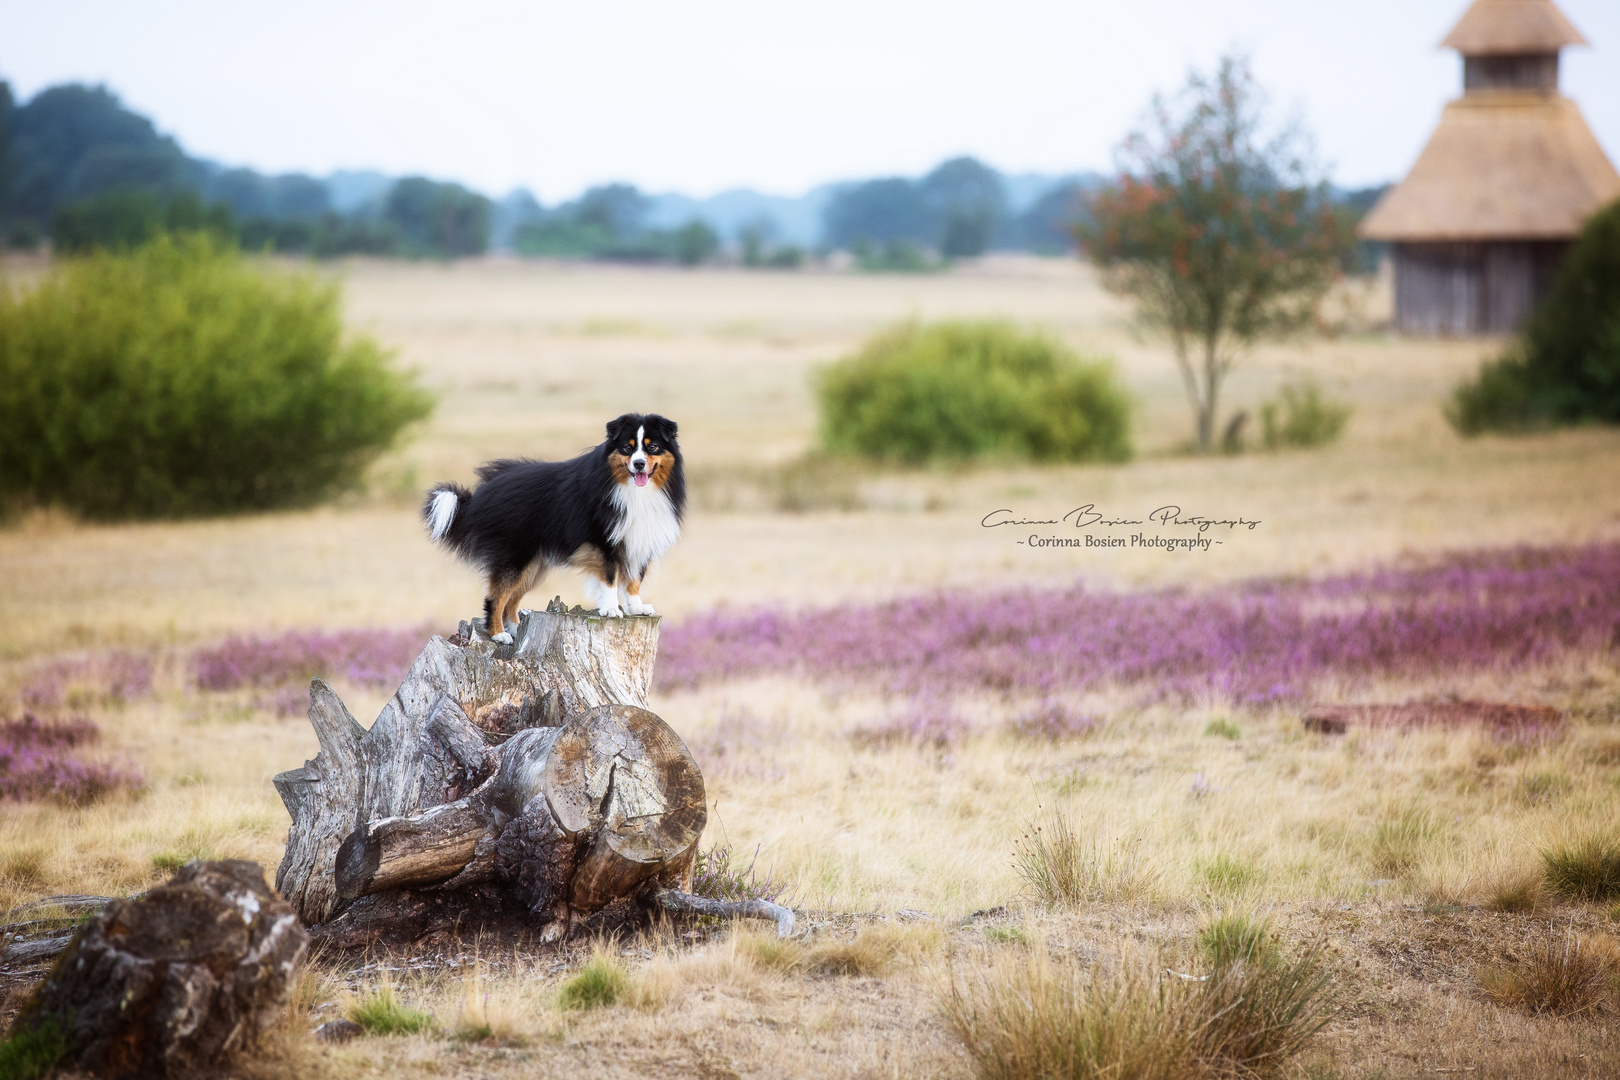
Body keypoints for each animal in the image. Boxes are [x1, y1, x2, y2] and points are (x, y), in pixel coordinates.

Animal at [421, 409, 680, 637]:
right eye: (627, 448)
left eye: (652, 447)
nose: (638, 464)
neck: (631, 489)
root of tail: (479, 496)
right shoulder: (603, 541)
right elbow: (609, 579)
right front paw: (611, 609)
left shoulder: (640, 538)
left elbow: (635, 580)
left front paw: (637, 608)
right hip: (514, 557)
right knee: (496, 597)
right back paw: (498, 635)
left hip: (534, 566)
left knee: (511, 600)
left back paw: (515, 630)